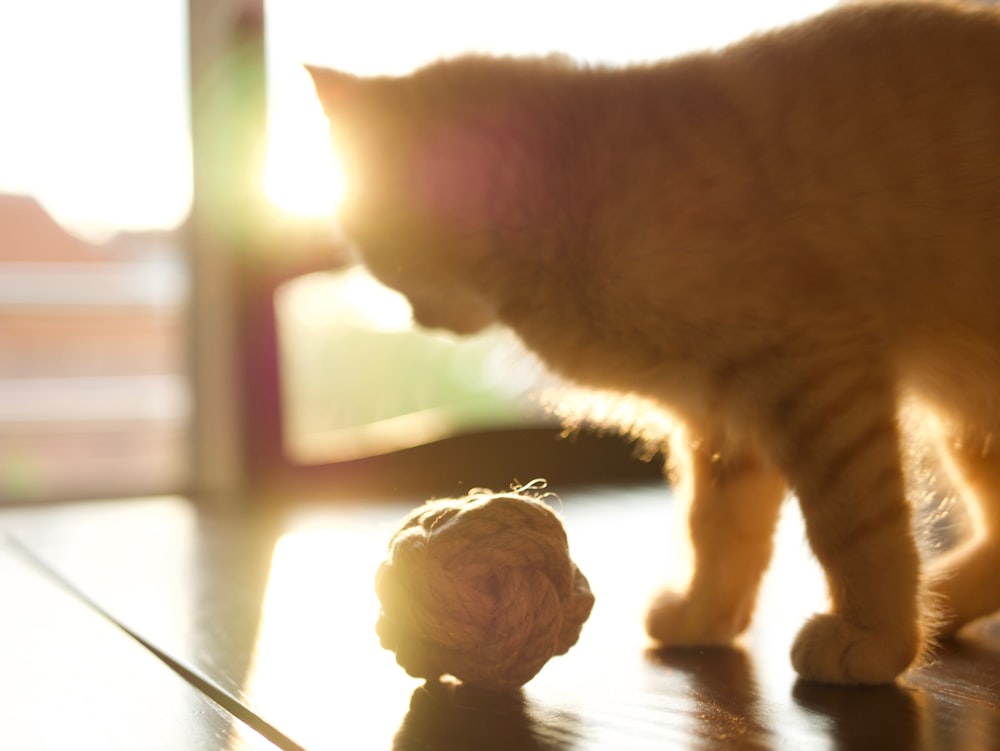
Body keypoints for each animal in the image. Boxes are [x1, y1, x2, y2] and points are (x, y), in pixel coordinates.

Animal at [304, 0, 1000, 684]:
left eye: (386, 258)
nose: (417, 317)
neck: (574, 198)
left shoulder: (816, 376)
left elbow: (853, 526)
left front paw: (873, 637)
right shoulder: (724, 421)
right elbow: (717, 533)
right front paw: (703, 618)